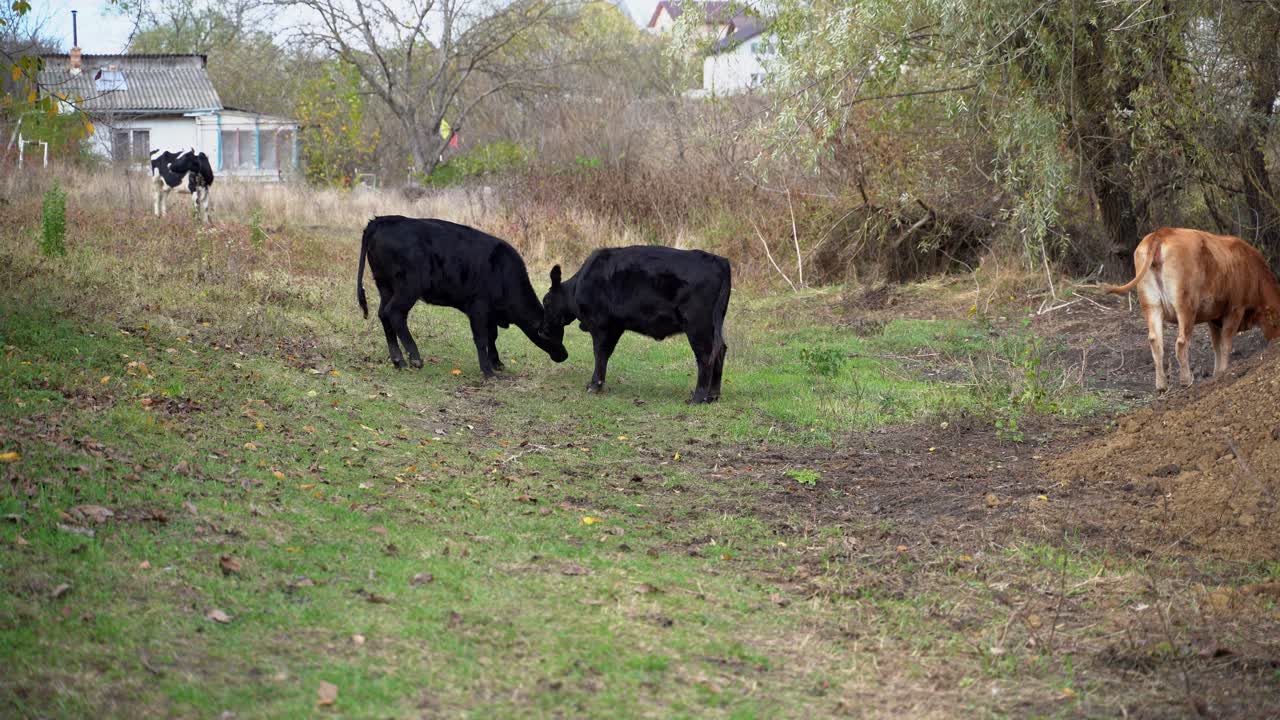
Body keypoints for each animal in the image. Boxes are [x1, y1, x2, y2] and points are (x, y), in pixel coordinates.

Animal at [356, 216, 568, 376]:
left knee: (384, 314)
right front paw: (488, 371)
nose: (564, 355)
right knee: (395, 313)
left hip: (385, 286)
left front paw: (496, 363)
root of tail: (381, 220)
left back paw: (398, 360)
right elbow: (482, 338)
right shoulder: (478, 307)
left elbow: (492, 336)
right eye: (550, 334)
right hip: (408, 288)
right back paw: (415, 358)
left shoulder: (490, 313)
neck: (503, 272)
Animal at [542, 246, 732, 403]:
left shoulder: (601, 325)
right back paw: (713, 395)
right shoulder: (615, 326)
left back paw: (698, 398)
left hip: (697, 325)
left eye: (546, 301)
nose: (543, 330)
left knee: (706, 355)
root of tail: (719, 261)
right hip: (714, 324)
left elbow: (600, 353)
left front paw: (595, 385)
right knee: (720, 350)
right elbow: (605, 354)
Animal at [1107, 227, 1280, 390]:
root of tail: (1161, 233)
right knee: (1182, 342)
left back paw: (1161, 385)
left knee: (1155, 342)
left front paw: (1217, 373)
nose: (1275, 343)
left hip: (1151, 305)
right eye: (1276, 324)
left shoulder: (1214, 317)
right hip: (1185, 307)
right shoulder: (1235, 309)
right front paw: (1223, 372)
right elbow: (1225, 344)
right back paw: (1186, 381)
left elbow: (1216, 346)